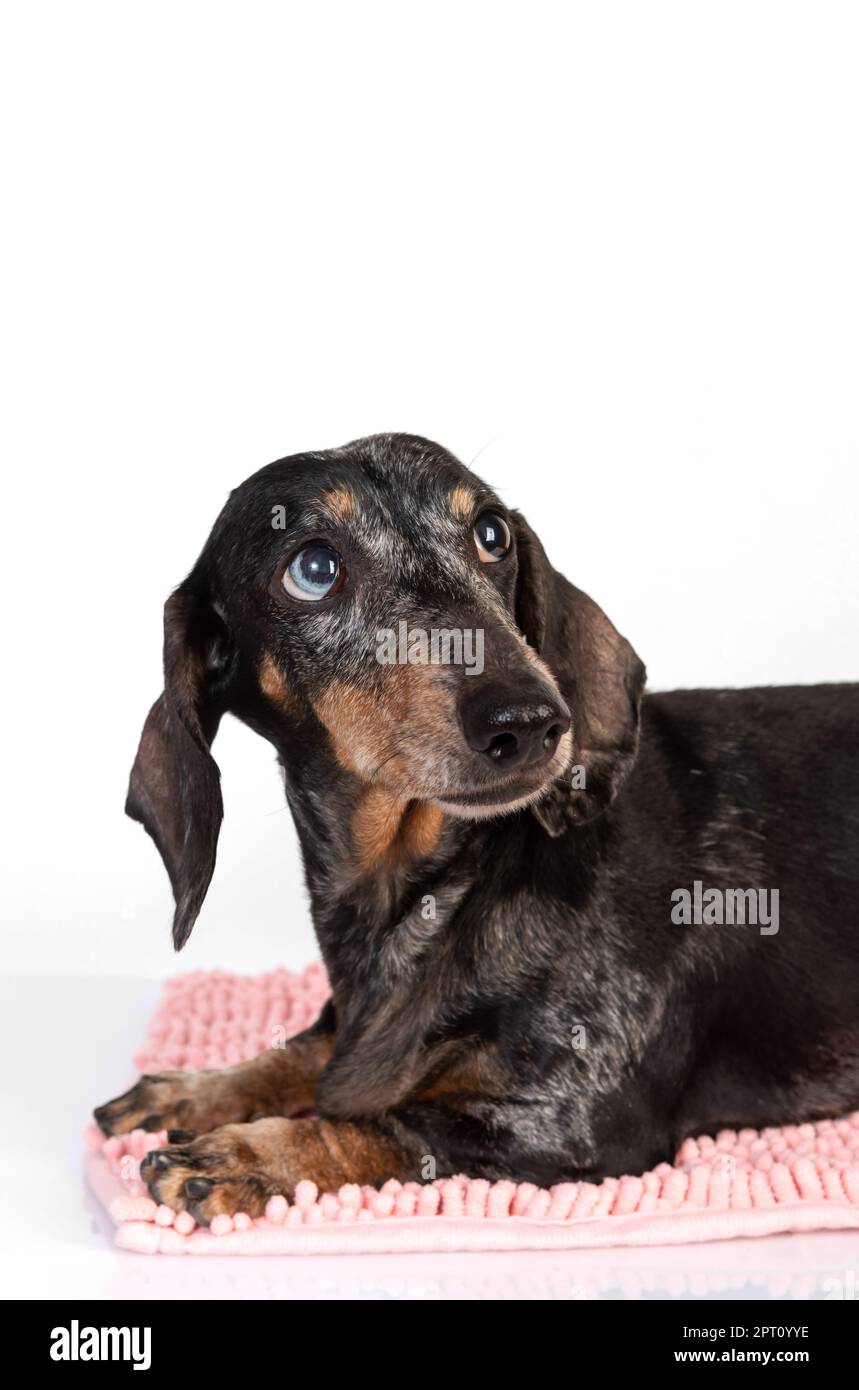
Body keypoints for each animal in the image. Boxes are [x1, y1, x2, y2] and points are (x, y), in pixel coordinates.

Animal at [93, 428, 856, 1223]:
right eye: (313, 568)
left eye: (491, 535)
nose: (531, 720)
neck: (446, 886)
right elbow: (311, 1051)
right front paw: (199, 1087)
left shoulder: (570, 1121)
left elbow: (378, 1122)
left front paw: (247, 1152)